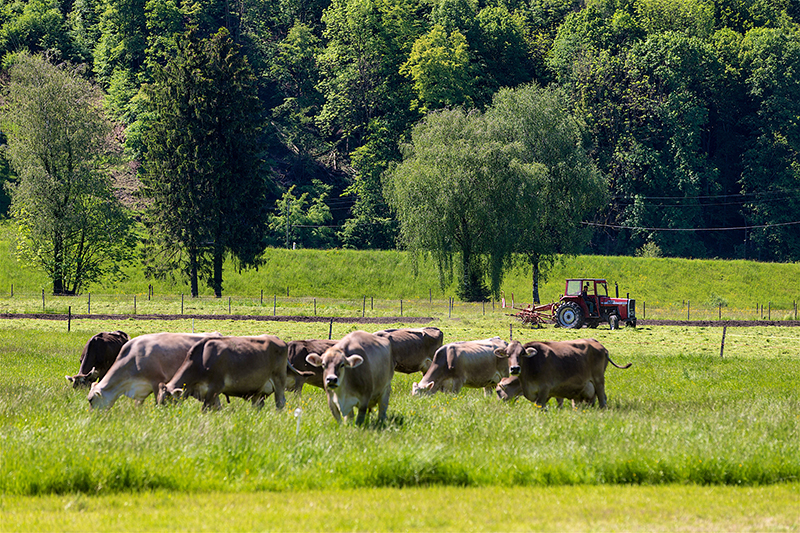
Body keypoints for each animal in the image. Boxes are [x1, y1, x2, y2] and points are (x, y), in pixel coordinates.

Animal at [158, 334, 290, 410]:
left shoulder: (215, 387)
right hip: (257, 391)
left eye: (166, 401)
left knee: (280, 402)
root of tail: (280, 341)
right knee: (258, 405)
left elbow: (205, 408)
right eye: (159, 401)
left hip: (279, 381)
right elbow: (217, 408)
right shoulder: (210, 392)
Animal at [494, 336, 632, 408]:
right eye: (507, 354)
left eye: (522, 353)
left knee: (602, 399)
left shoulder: (545, 389)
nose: (515, 368)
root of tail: (602, 347)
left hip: (599, 381)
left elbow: (543, 406)